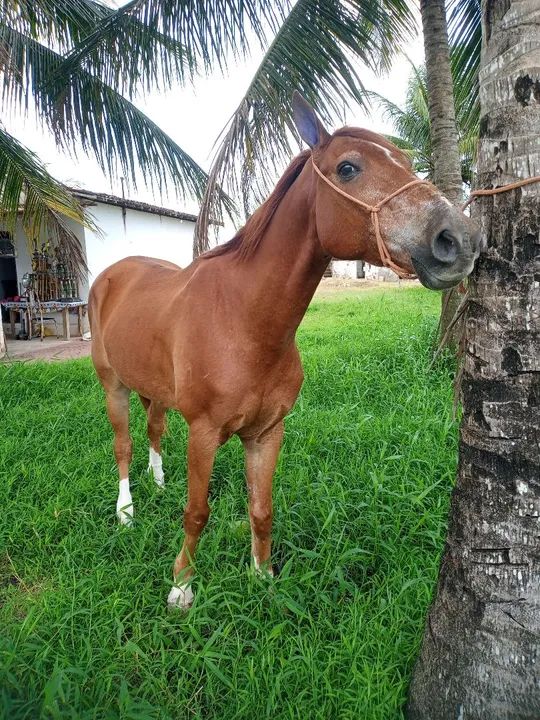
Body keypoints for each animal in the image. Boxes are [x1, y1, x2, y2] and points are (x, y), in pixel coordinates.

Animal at [89, 93, 480, 609]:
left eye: (406, 161)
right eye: (348, 168)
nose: (461, 239)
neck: (243, 319)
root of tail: (114, 271)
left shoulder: (267, 433)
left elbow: (261, 509)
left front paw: (262, 577)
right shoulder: (203, 433)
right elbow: (197, 511)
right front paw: (181, 586)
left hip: (154, 390)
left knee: (153, 429)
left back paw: (157, 483)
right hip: (112, 386)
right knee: (124, 445)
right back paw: (127, 511)